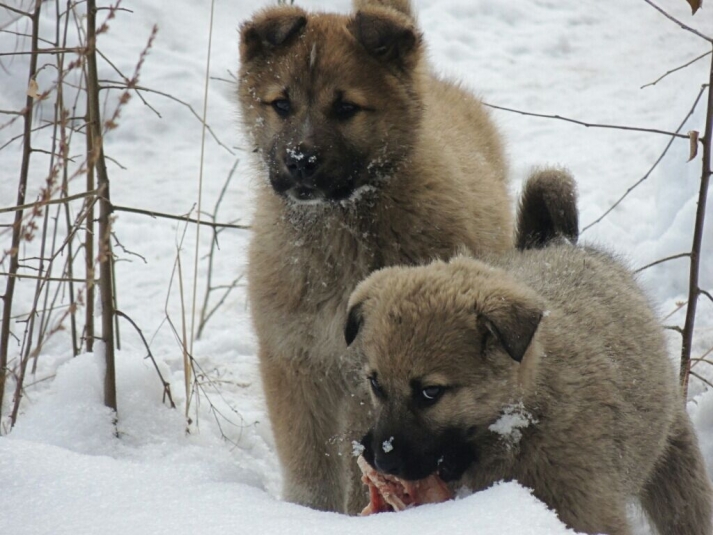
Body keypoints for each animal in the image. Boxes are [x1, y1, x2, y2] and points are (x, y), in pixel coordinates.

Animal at [238, 0, 512, 516]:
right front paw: (309, 516)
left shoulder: (370, 377)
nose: (300, 161)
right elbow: (311, 466)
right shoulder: (296, 360)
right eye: (281, 104)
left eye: (346, 108)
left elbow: (352, 460)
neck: (339, 227)